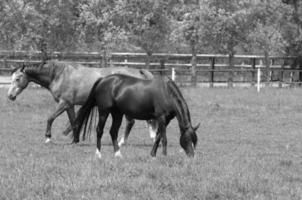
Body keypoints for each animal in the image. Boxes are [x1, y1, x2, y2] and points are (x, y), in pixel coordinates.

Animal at [7, 60, 158, 145]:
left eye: (18, 79)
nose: (10, 96)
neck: (59, 75)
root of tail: (138, 71)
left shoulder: (63, 103)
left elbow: (50, 118)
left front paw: (48, 138)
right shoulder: (70, 105)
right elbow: (74, 121)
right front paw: (75, 140)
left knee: (132, 122)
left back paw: (123, 142)